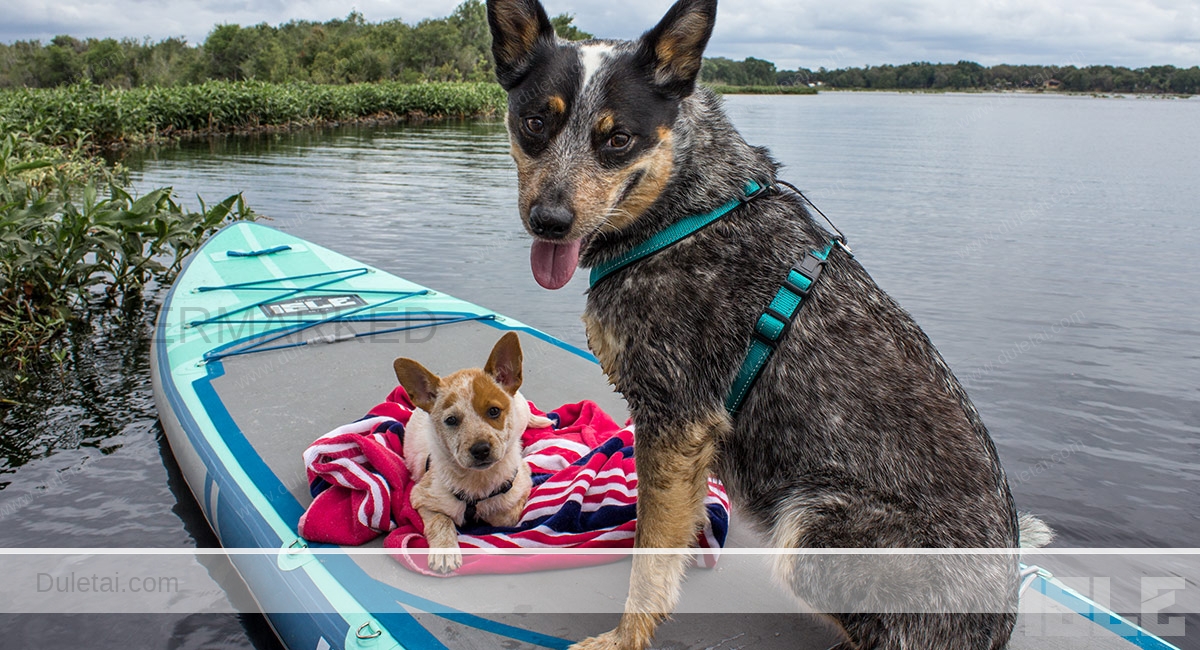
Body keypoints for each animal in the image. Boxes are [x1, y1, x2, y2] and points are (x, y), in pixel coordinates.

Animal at [484, 2, 1051, 647]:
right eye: (535, 122)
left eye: (618, 138)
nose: (549, 222)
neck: (688, 208)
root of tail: (1000, 620)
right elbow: (669, 534)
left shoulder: (676, 420)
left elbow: (650, 556)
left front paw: (627, 636)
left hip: (809, 524)